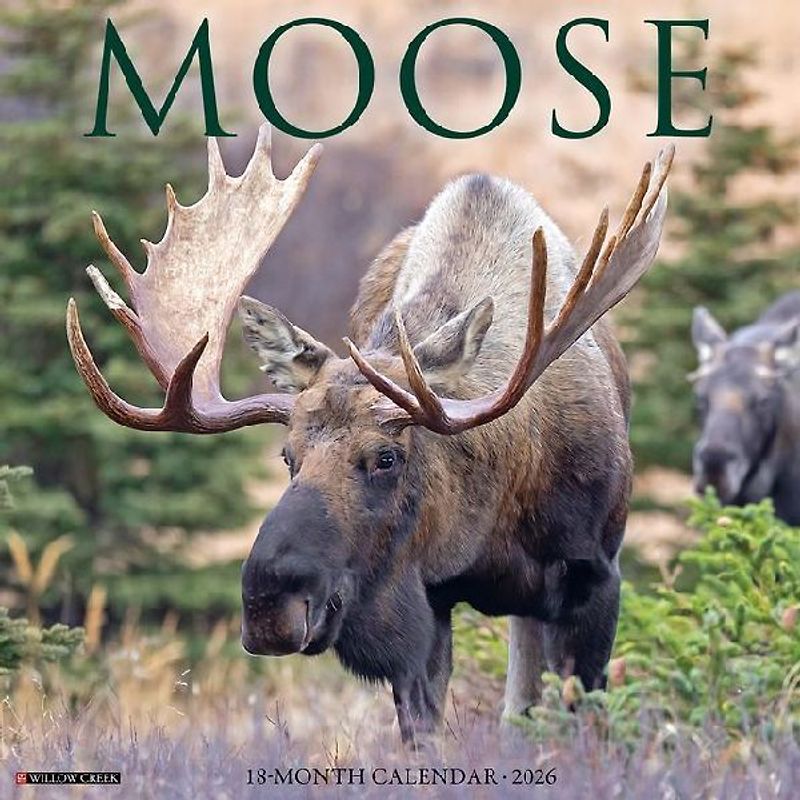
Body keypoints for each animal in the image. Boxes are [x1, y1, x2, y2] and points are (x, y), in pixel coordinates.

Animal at [66, 125, 673, 743]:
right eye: (287, 457)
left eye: (386, 457)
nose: (268, 605)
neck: (494, 516)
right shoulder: (426, 603)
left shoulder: (597, 575)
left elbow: (584, 720)